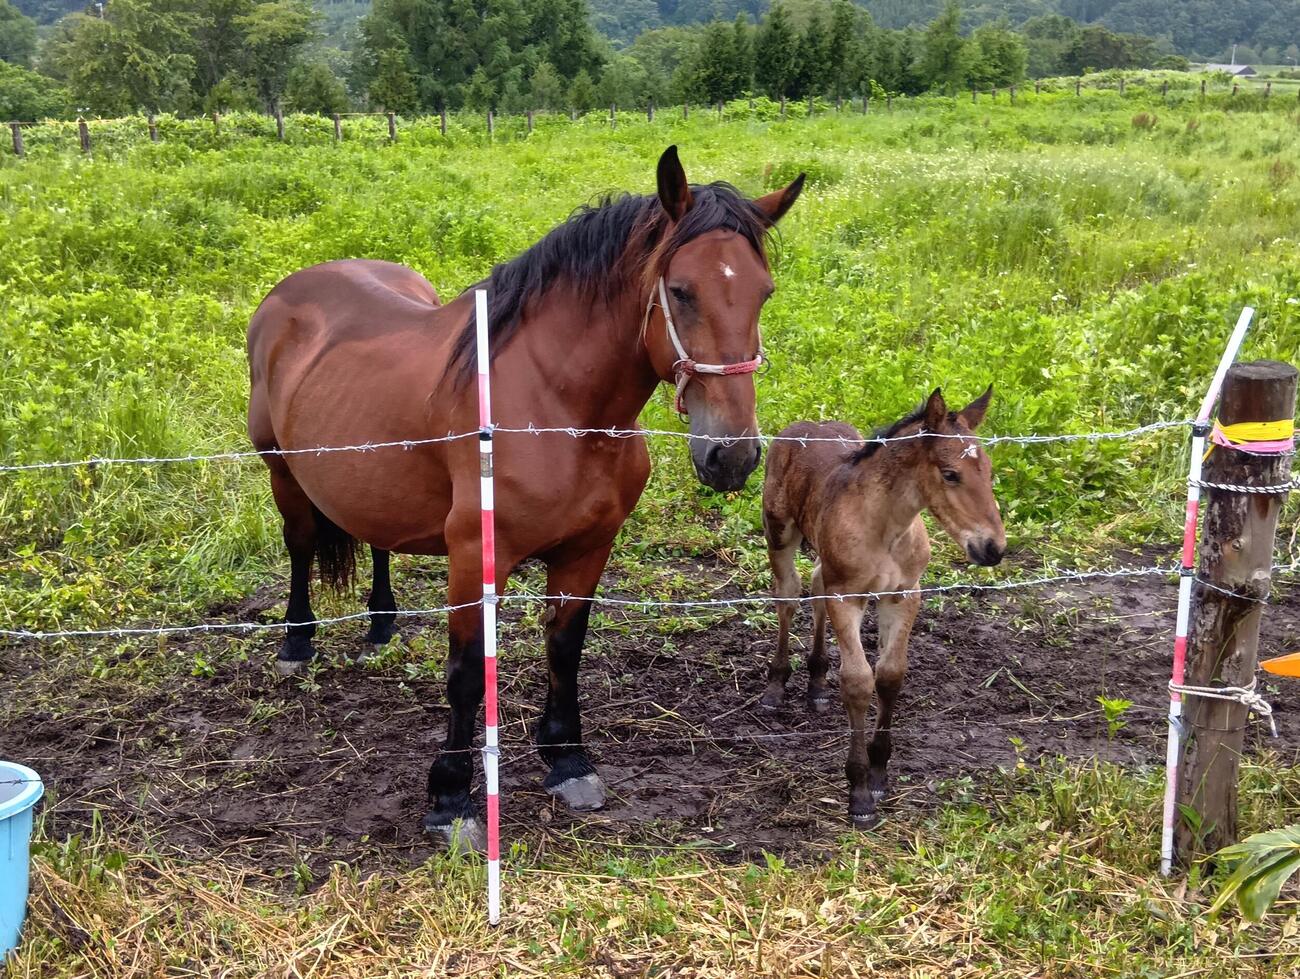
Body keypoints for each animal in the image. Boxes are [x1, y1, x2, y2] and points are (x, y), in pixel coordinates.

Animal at [246, 146, 805, 847]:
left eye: (764, 292)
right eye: (681, 291)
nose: (731, 456)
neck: (557, 409)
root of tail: (291, 292)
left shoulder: (587, 550)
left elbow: (565, 649)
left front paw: (567, 760)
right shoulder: (474, 558)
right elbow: (464, 674)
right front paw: (450, 798)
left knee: (377, 539)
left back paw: (380, 625)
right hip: (282, 473)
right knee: (299, 545)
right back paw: (297, 644)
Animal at [759, 387, 1006, 827]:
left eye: (989, 471)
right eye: (950, 474)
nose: (993, 548)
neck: (887, 526)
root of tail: (805, 424)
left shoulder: (904, 595)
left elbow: (890, 675)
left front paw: (878, 773)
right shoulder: (847, 598)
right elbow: (858, 682)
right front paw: (858, 792)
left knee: (816, 583)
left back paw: (817, 682)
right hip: (779, 532)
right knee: (788, 594)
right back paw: (776, 685)